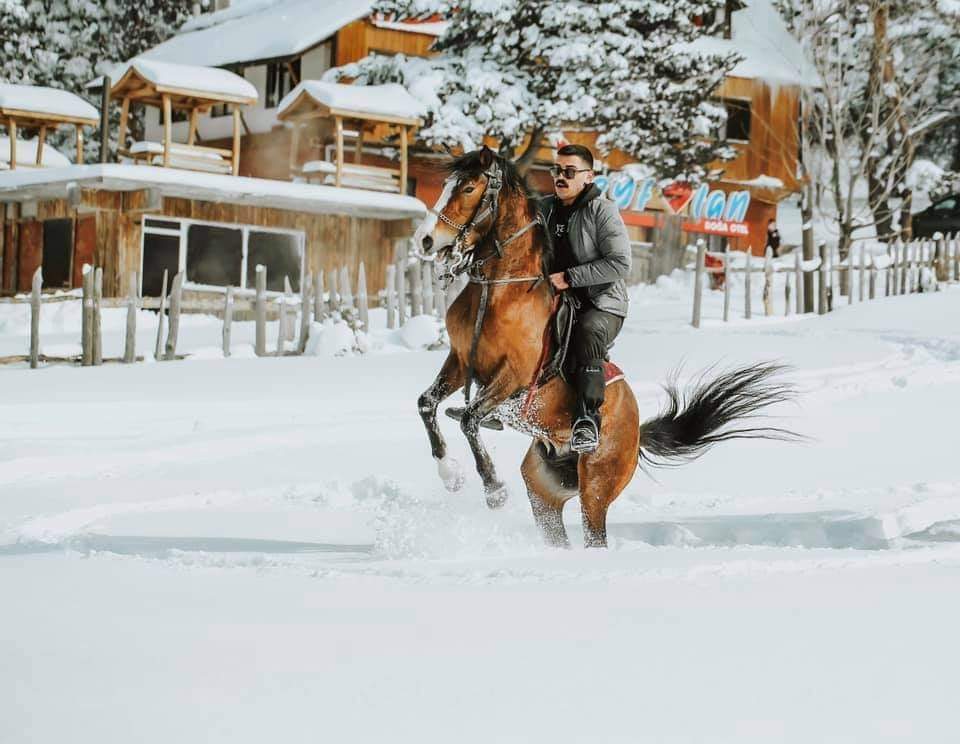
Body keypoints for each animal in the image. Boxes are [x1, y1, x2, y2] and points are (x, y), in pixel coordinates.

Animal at [412, 148, 796, 548]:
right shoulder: (460, 362)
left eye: (469, 188)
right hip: (544, 489)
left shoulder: (514, 375)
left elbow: (470, 419)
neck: (501, 290)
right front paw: (450, 474)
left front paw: (494, 489)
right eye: (446, 184)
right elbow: (427, 405)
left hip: (596, 485)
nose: (425, 240)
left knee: (595, 535)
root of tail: (637, 429)